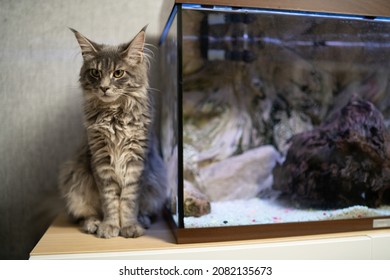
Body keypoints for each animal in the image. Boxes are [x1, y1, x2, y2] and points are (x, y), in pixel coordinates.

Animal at [58, 26, 166, 238]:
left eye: (118, 73)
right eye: (95, 72)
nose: (104, 87)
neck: (115, 115)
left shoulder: (136, 161)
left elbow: (129, 201)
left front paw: (130, 226)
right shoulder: (101, 160)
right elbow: (109, 201)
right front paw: (109, 226)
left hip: (156, 184)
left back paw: (143, 220)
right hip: (75, 180)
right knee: (84, 214)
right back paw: (93, 223)